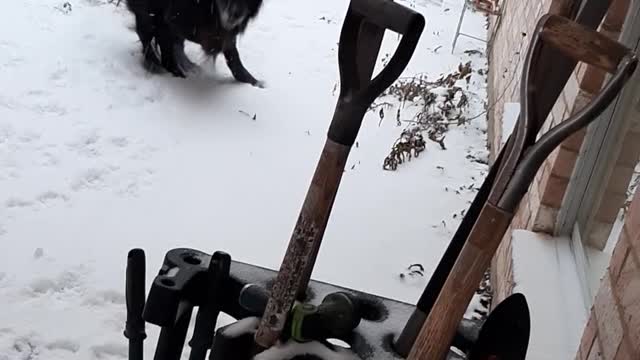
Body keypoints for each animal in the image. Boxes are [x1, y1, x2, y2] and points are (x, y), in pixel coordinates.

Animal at [124, 0, 264, 86]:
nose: (236, 14)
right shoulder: (168, 17)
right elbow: (167, 52)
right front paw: (177, 76)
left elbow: (232, 54)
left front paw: (253, 82)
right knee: (145, 33)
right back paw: (153, 62)